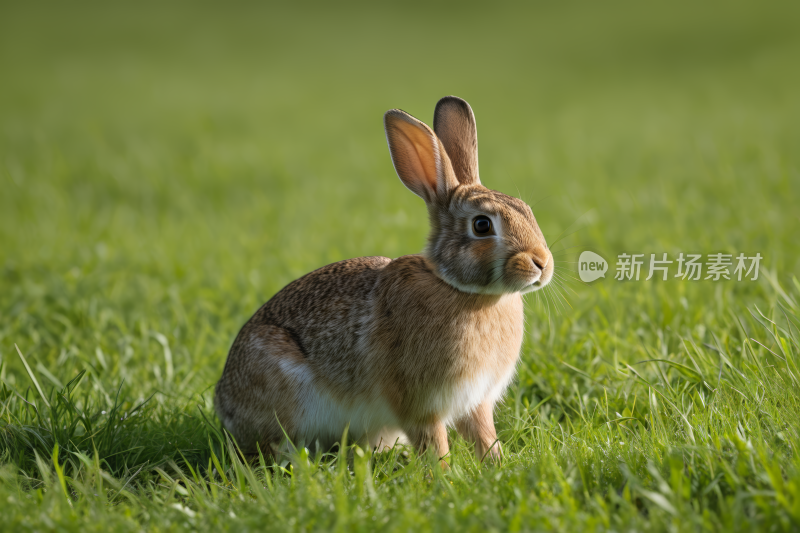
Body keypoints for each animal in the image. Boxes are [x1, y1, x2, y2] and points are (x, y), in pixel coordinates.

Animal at [216, 97, 552, 464]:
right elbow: (434, 442)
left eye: (526, 209)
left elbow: (484, 436)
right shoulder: (420, 403)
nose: (542, 264)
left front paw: (497, 464)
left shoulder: (475, 402)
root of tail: (224, 406)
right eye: (482, 225)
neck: (463, 291)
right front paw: (443, 473)